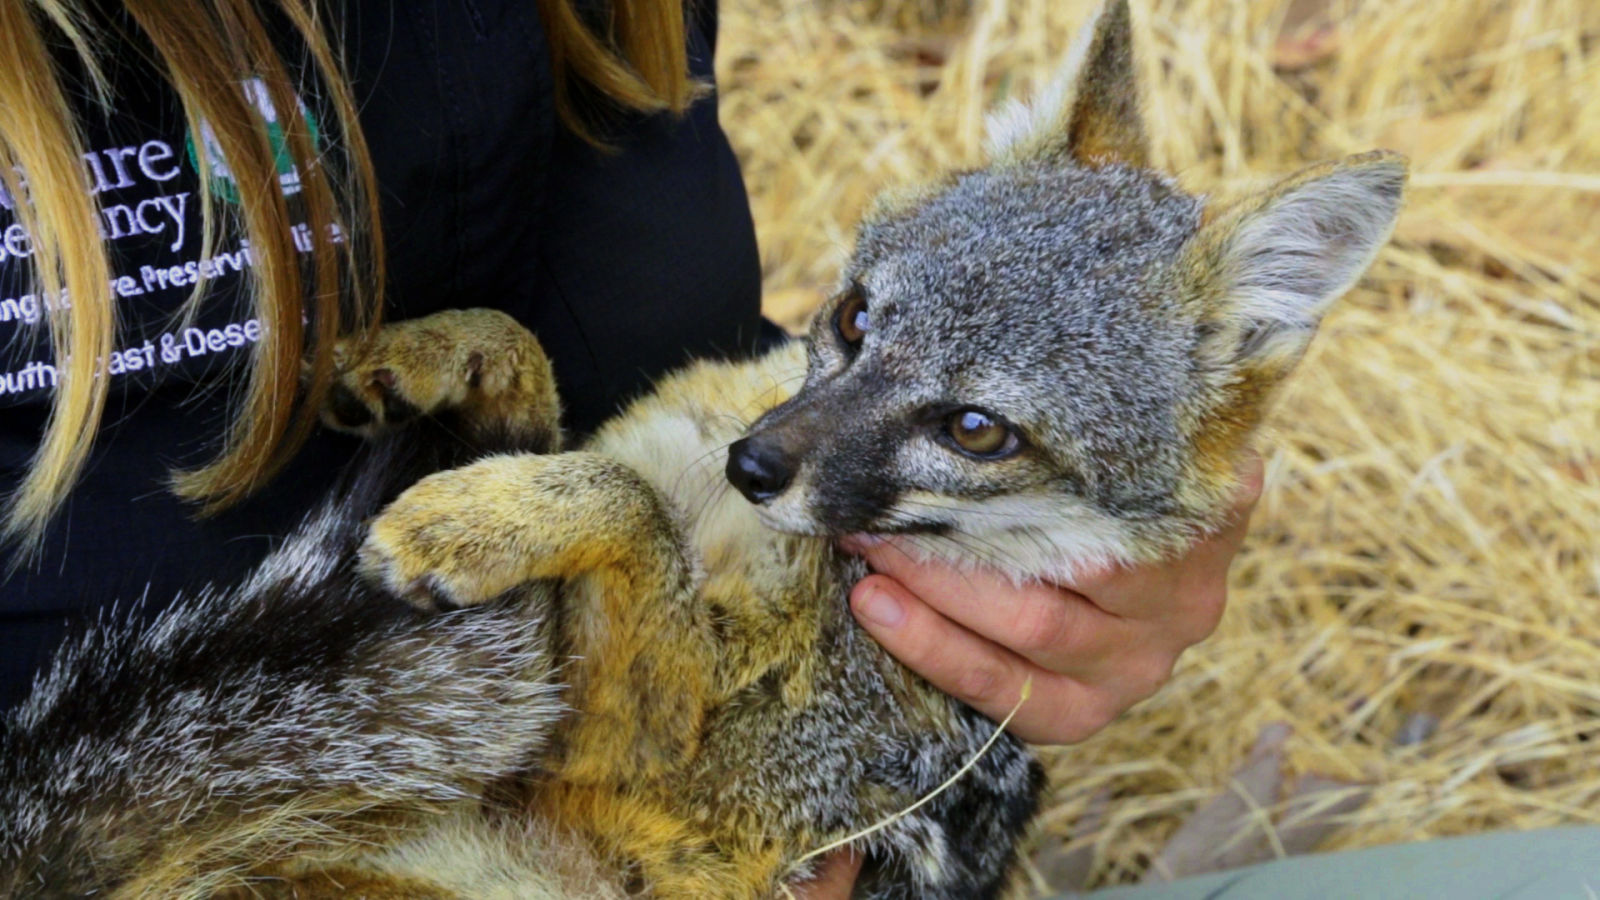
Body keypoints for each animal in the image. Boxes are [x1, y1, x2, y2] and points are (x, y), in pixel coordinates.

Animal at [0, 2, 1406, 897]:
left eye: (974, 429)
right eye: (855, 318)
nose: (756, 464)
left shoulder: (643, 768)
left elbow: (619, 499)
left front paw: (475, 519)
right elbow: (545, 373)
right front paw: (444, 359)